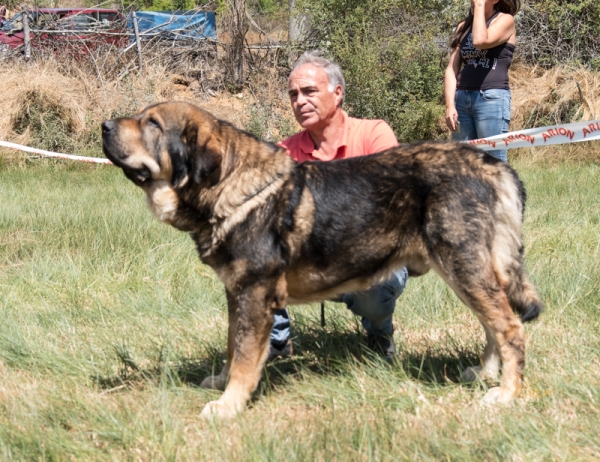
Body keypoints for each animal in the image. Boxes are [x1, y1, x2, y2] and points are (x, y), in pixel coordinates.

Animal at [101, 101, 540, 418]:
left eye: (152, 123)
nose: (104, 126)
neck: (230, 186)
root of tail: (493, 165)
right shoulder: (236, 293)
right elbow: (232, 345)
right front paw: (222, 382)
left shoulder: (254, 294)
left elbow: (244, 357)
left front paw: (229, 405)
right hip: (471, 272)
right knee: (494, 325)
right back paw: (485, 375)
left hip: (463, 267)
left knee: (510, 327)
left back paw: (505, 394)